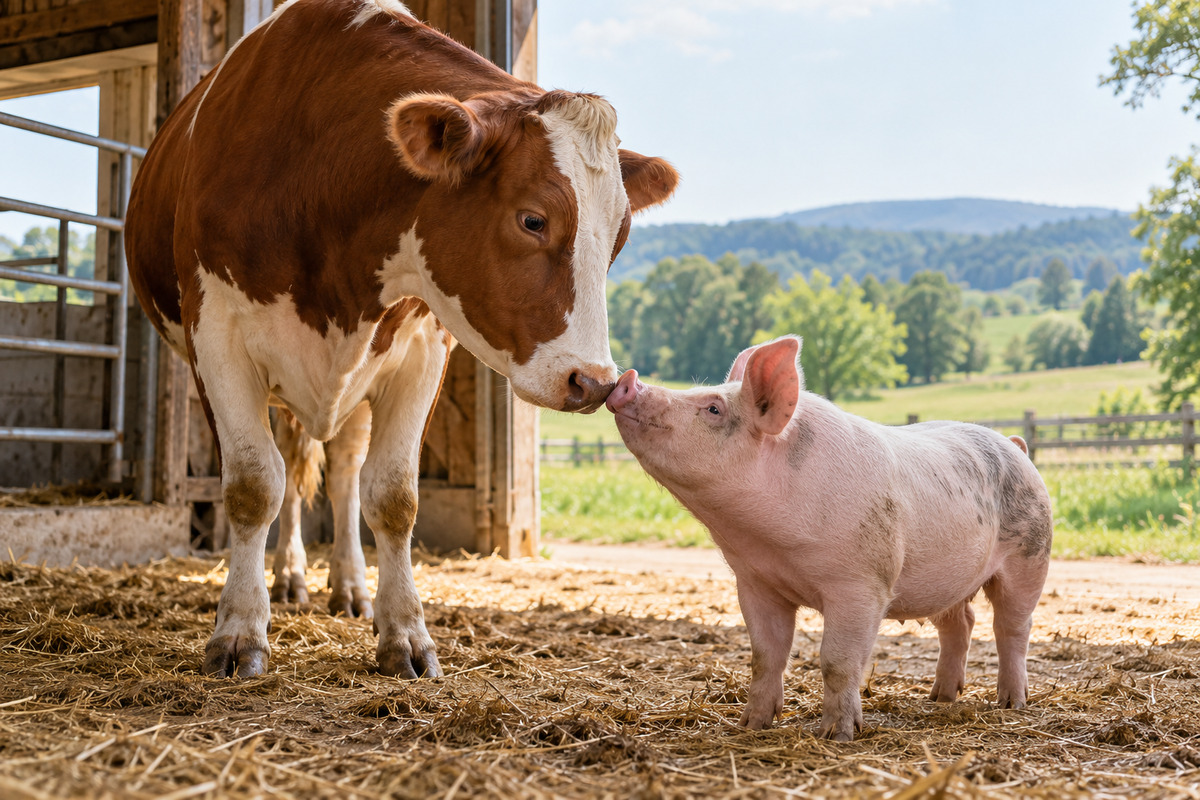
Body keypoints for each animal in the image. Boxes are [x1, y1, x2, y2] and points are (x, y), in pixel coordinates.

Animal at [125, 0, 678, 680]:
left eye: (619, 236)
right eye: (532, 219)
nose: (594, 381)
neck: (321, 177)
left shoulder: (420, 350)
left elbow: (392, 496)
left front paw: (405, 634)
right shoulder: (216, 337)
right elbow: (254, 486)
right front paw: (239, 631)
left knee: (339, 473)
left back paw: (346, 585)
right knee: (291, 469)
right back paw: (289, 577)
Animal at [606, 335, 1052, 741]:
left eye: (713, 408)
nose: (628, 379)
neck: (774, 544)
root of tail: (1016, 445)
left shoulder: (861, 583)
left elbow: (837, 661)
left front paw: (837, 735)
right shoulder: (755, 582)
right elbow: (764, 655)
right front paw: (751, 725)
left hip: (1031, 556)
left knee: (1012, 627)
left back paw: (1010, 702)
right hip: (948, 576)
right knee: (961, 622)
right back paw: (939, 698)